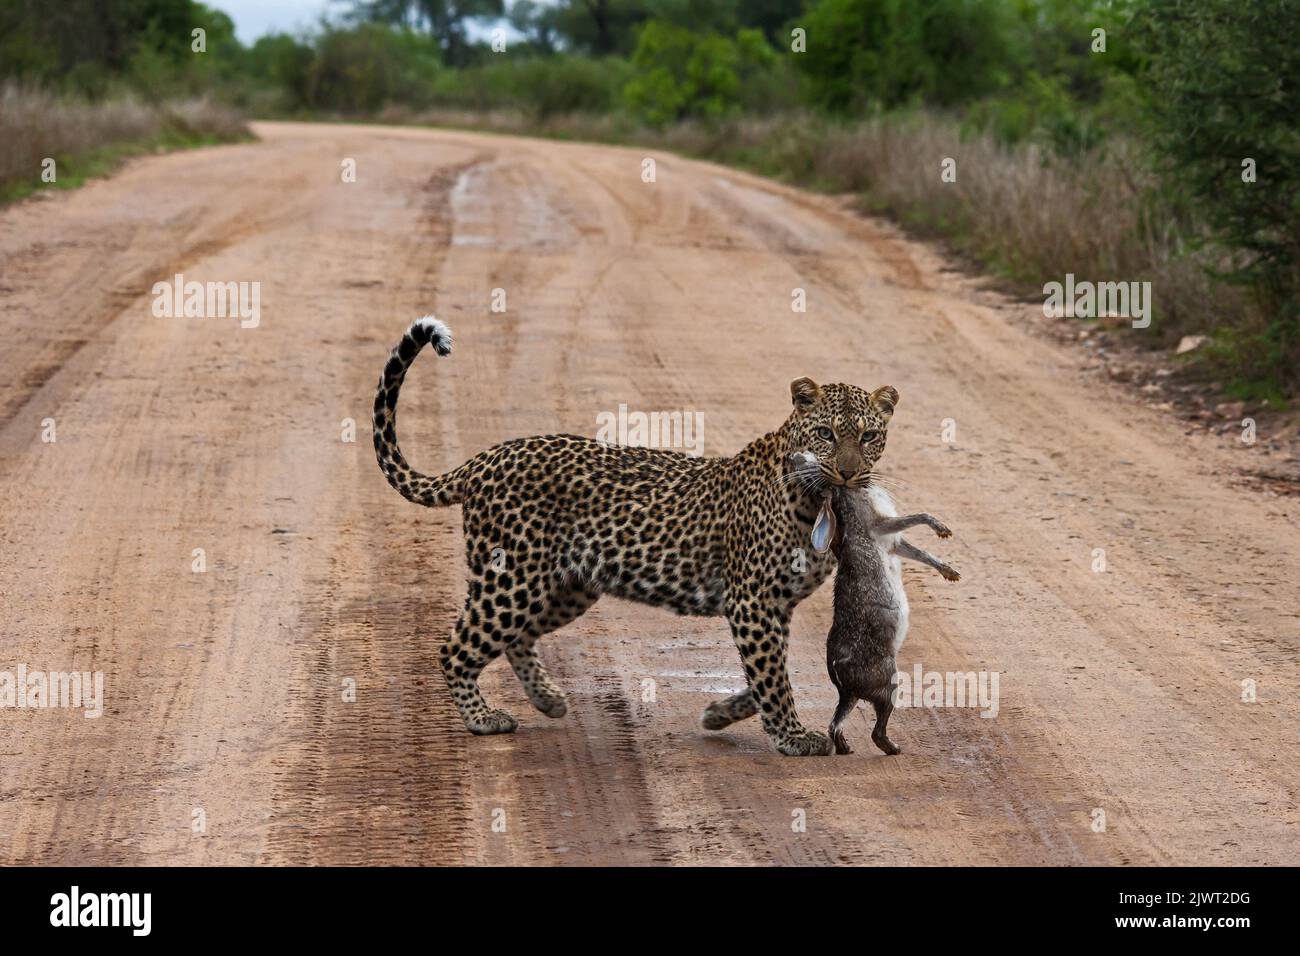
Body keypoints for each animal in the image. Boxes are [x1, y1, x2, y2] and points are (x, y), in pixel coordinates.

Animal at [371, 317, 899, 759]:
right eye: (826, 433)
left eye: (868, 436)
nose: (848, 472)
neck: (816, 496)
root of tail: (485, 458)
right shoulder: (755, 601)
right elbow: (772, 675)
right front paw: (792, 736)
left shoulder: (776, 606)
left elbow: (768, 672)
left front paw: (719, 713)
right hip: (512, 580)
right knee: (456, 647)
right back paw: (482, 719)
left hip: (565, 586)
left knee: (518, 638)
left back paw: (548, 700)